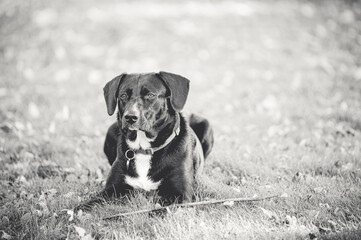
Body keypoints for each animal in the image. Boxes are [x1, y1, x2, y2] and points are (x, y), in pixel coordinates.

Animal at [76, 71, 211, 210]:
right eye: (123, 95)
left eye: (150, 95)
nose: (130, 117)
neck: (144, 148)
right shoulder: (110, 190)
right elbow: (86, 205)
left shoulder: (181, 196)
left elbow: (159, 210)